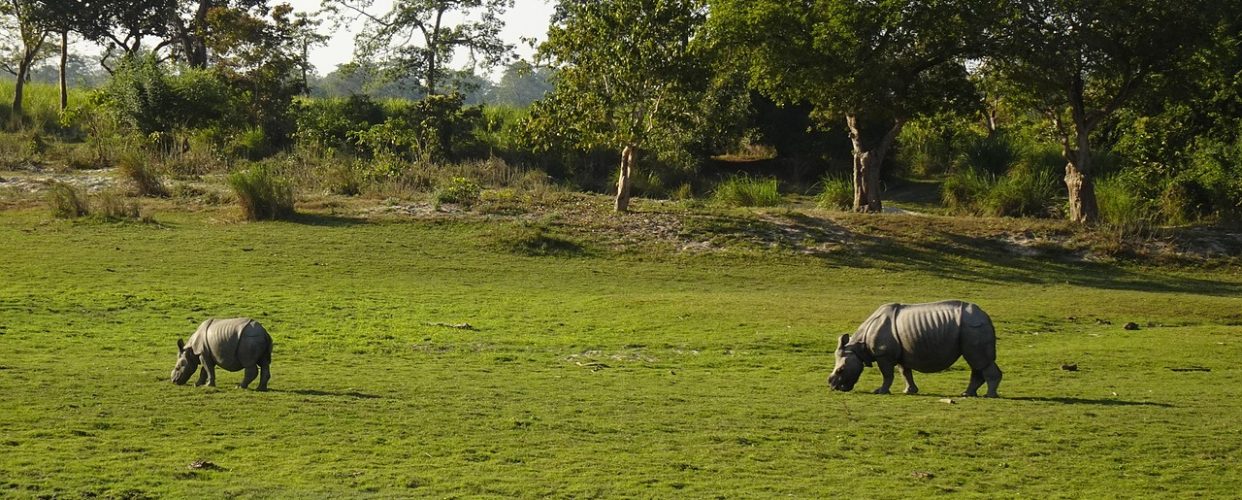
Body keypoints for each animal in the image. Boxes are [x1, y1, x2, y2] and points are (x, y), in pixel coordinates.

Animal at [828, 300, 1002, 397]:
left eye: (841, 370)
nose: (833, 387)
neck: (857, 347)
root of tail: (985, 315)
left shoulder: (883, 354)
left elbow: (887, 374)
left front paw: (880, 391)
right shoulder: (900, 354)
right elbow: (905, 372)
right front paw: (909, 391)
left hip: (972, 326)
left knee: (979, 361)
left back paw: (989, 395)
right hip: (970, 327)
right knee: (976, 363)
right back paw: (967, 394)